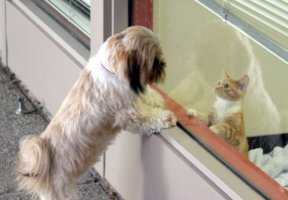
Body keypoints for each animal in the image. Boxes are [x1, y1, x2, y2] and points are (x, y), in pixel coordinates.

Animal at [17, 25, 176, 199]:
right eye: (154, 61)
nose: (163, 64)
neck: (112, 71)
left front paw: (155, 97)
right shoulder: (129, 115)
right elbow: (148, 118)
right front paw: (166, 117)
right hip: (61, 192)